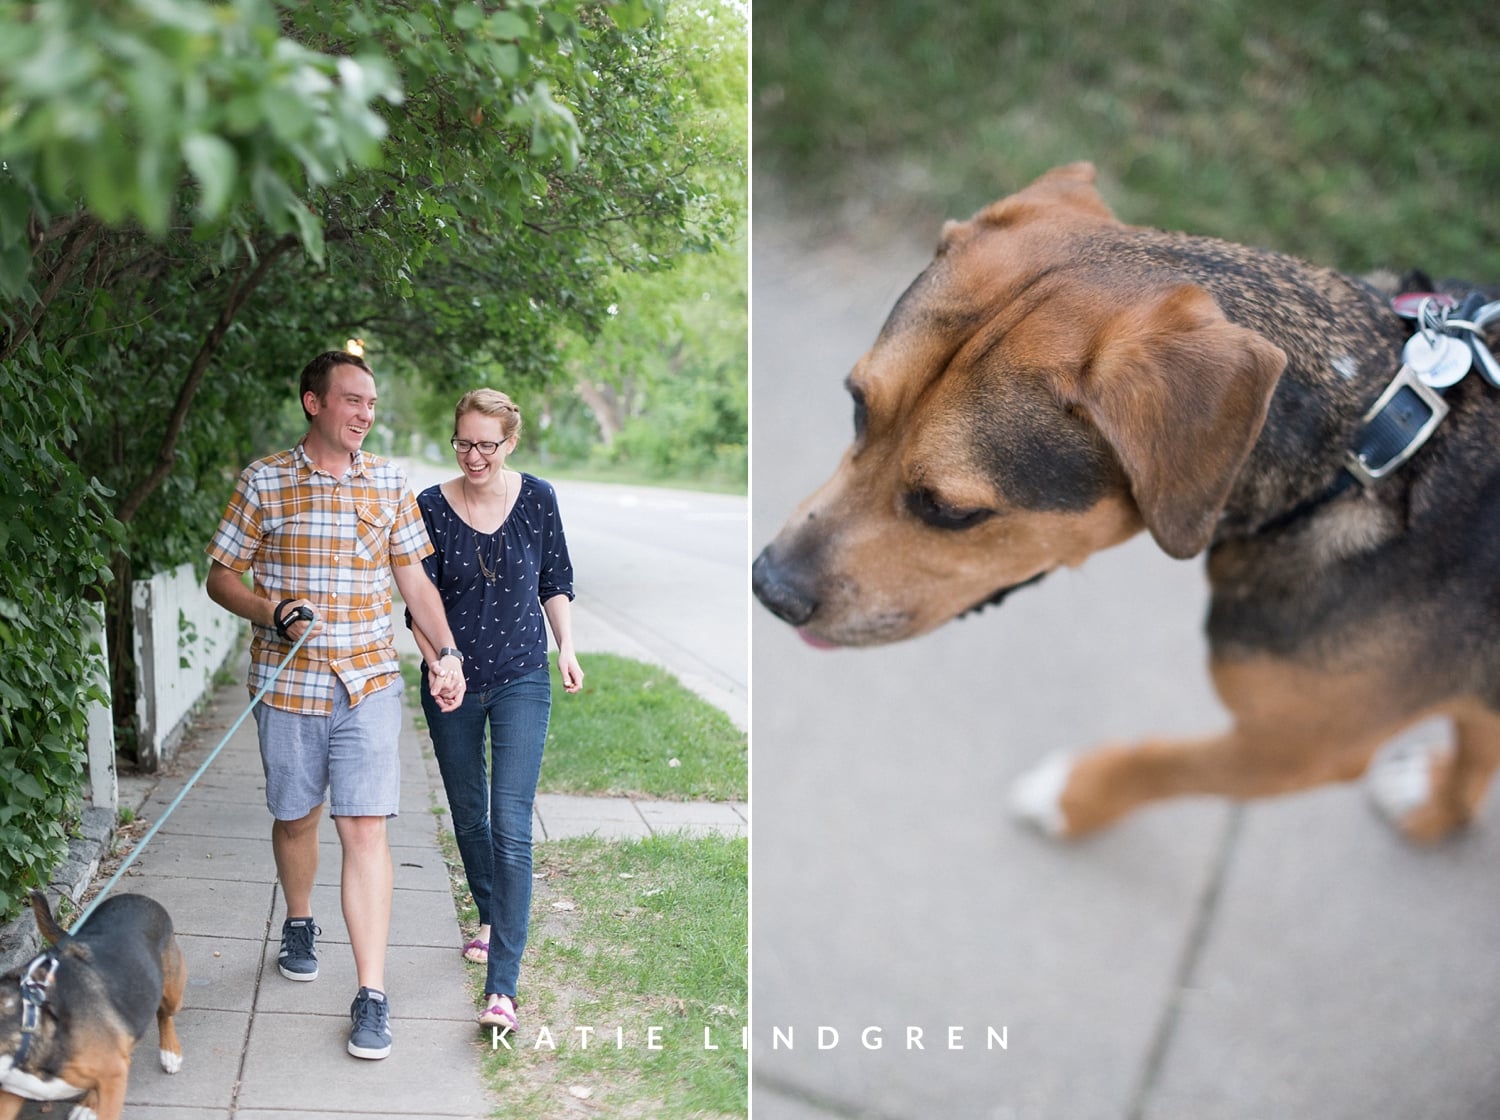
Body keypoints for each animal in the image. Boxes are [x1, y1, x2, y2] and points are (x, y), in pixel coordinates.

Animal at [756, 161, 1500, 845]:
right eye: (857, 405)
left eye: (950, 509)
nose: (769, 588)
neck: (1366, 445)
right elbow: (1477, 738)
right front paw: (1440, 808)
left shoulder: (1294, 748)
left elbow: (1163, 765)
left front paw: (1069, 798)